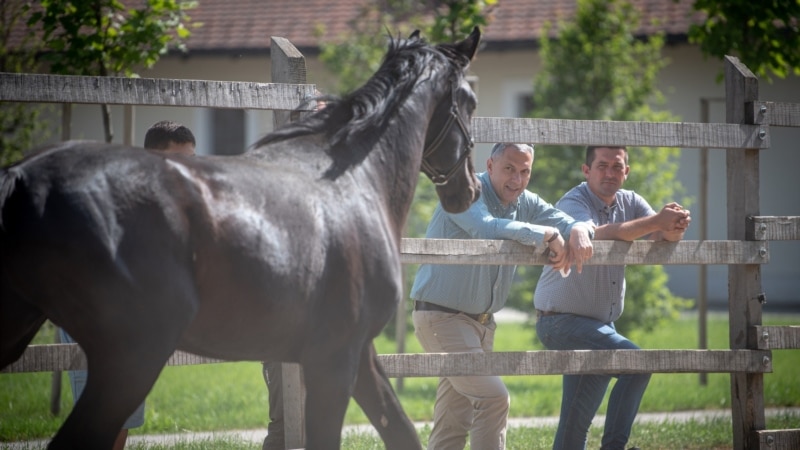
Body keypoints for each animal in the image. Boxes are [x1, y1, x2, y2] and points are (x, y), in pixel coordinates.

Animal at [0, 28, 482, 446]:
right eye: (471, 101)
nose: (469, 191)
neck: (356, 180)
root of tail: (24, 178)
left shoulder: (358, 354)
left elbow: (400, 430)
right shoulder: (334, 358)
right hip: (132, 358)